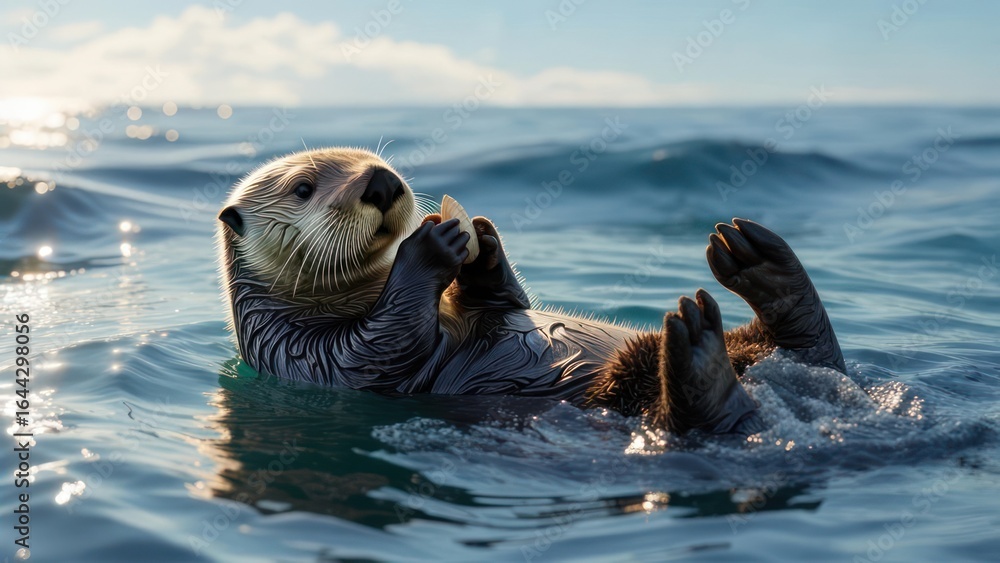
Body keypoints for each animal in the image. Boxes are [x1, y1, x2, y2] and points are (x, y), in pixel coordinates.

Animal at [216, 147, 846, 434]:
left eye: (374, 158)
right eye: (303, 189)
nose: (381, 181)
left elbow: (505, 301)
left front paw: (484, 238)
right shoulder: (304, 354)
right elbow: (380, 347)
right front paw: (430, 247)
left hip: (779, 351)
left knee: (806, 343)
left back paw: (755, 259)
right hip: (630, 396)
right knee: (693, 417)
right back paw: (696, 353)